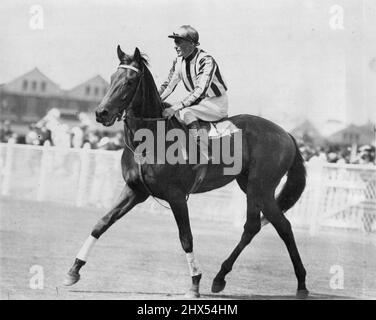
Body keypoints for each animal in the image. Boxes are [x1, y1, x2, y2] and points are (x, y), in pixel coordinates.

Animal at [64, 46, 310, 298]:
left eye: (130, 81)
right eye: (113, 77)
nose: (101, 113)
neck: (150, 138)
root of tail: (287, 134)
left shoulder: (177, 197)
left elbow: (186, 239)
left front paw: (194, 283)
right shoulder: (135, 191)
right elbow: (102, 223)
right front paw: (74, 270)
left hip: (260, 187)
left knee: (281, 227)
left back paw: (301, 284)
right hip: (251, 187)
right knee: (257, 226)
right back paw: (221, 278)